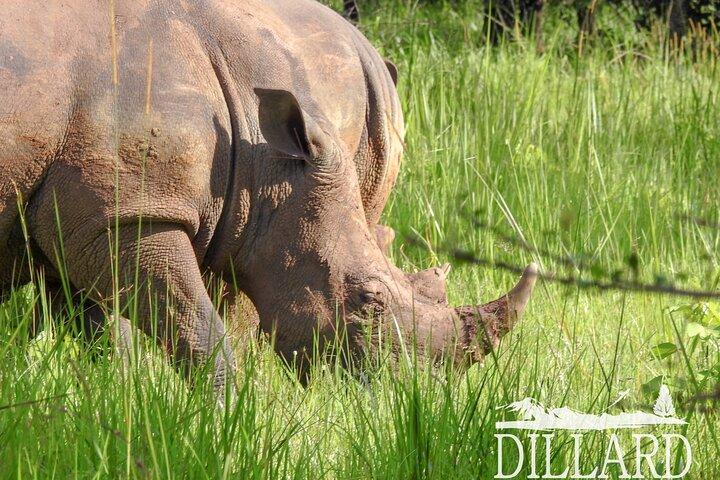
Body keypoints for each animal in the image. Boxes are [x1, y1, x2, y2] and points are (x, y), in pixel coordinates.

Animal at [0, 0, 537, 397]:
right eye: (367, 300)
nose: (412, 395)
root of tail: (367, 56)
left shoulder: (98, 216)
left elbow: (102, 331)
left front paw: (114, 400)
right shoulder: (126, 215)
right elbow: (196, 328)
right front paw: (221, 421)